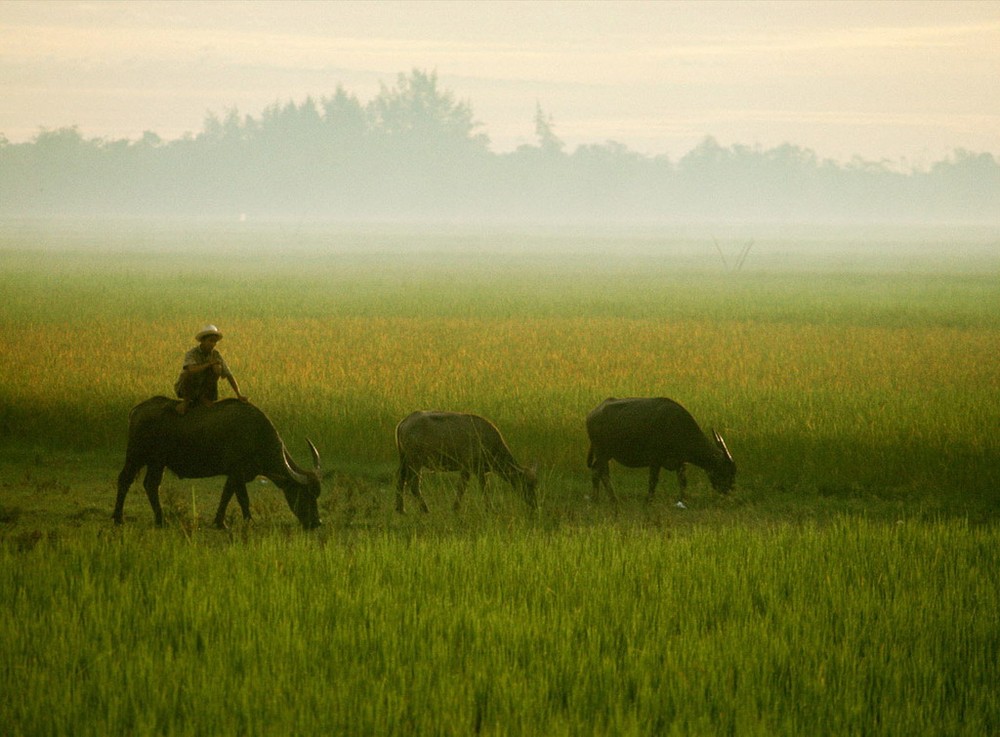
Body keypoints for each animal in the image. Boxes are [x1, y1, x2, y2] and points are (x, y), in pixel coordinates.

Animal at [115, 396, 322, 528]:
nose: (317, 523)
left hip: (157, 463)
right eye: (305, 494)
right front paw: (222, 522)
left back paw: (160, 519)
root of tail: (137, 410)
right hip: (136, 455)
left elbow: (240, 498)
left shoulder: (240, 475)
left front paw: (245, 520)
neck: (257, 436)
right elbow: (231, 496)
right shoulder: (235, 473)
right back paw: (119, 518)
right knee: (125, 480)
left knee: (151, 485)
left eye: (316, 495)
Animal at [394, 408, 540, 512]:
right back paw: (425, 509)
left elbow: (467, 487)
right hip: (415, 461)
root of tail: (404, 422)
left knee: (400, 480)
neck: (492, 445)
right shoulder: (472, 468)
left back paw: (401, 509)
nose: (534, 505)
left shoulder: (473, 470)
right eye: (527, 484)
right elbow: (476, 488)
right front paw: (488, 508)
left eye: (535, 485)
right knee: (413, 484)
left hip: (405, 460)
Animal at [584, 396, 736, 506]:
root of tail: (592, 414)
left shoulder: (680, 462)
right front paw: (649, 500)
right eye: (726, 470)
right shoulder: (655, 460)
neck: (678, 427)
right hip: (603, 452)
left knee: (597, 470)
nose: (730, 489)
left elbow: (683, 481)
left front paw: (684, 499)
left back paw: (597, 498)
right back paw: (612, 499)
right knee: (602, 472)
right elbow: (653, 480)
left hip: (605, 454)